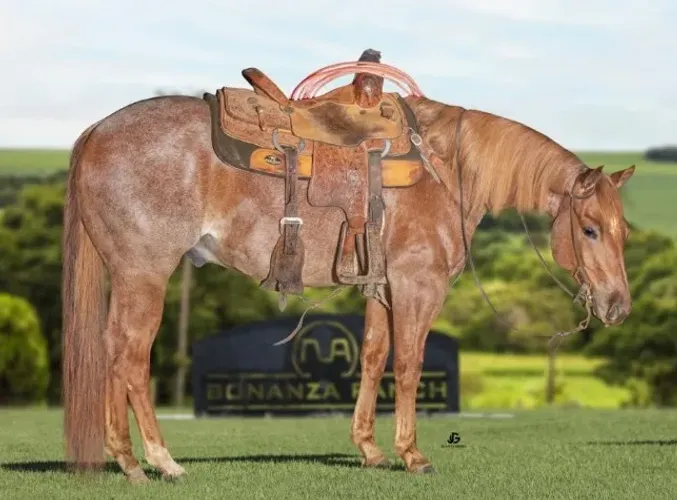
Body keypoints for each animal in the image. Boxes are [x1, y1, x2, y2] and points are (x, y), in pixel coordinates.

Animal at [61, 56, 635, 483]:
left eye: (623, 230)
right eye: (589, 229)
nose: (618, 306)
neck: (449, 170)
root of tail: (95, 131)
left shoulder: (380, 287)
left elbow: (374, 357)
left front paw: (371, 451)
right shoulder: (418, 285)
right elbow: (409, 363)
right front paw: (412, 455)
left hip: (127, 277)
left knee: (112, 352)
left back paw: (127, 461)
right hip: (145, 275)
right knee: (132, 358)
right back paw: (160, 461)